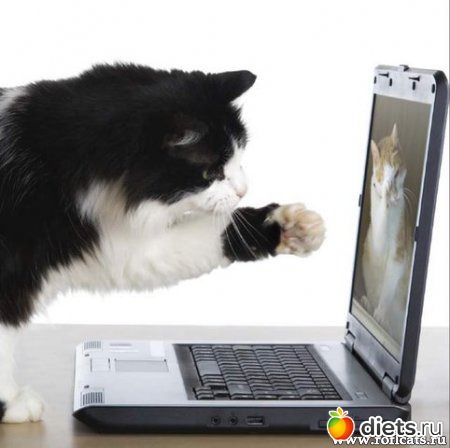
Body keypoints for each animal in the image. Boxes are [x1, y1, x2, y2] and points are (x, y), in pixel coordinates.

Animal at [0, 64, 325, 423]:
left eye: (239, 157)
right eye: (212, 171)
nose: (244, 190)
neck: (57, 166)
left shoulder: (118, 245)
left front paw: (293, 226)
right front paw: (11, 403)